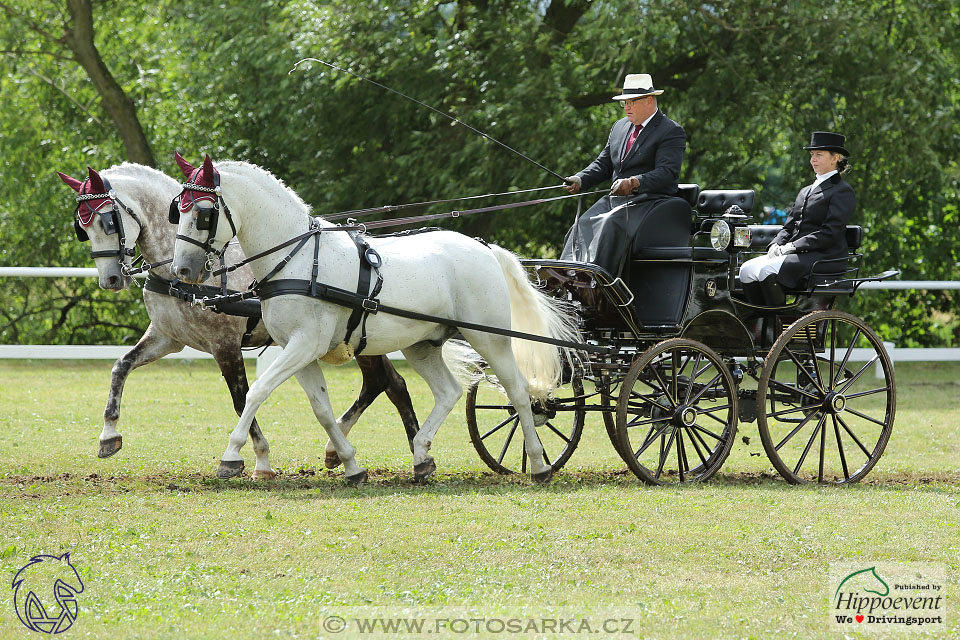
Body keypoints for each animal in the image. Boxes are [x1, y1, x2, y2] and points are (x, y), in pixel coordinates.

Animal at [170, 155, 576, 482]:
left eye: (203, 213)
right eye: (178, 211)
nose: (181, 270)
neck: (297, 258)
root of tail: (483, 247)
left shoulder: (304, 345)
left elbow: (256, 391)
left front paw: (230, 457)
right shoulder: (298, 350)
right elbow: (322, 409)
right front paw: (350, 464)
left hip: (490, 338)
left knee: (519, 392)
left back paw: (539, 464)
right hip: (422, 345)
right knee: (448, 391)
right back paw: (420, 456)